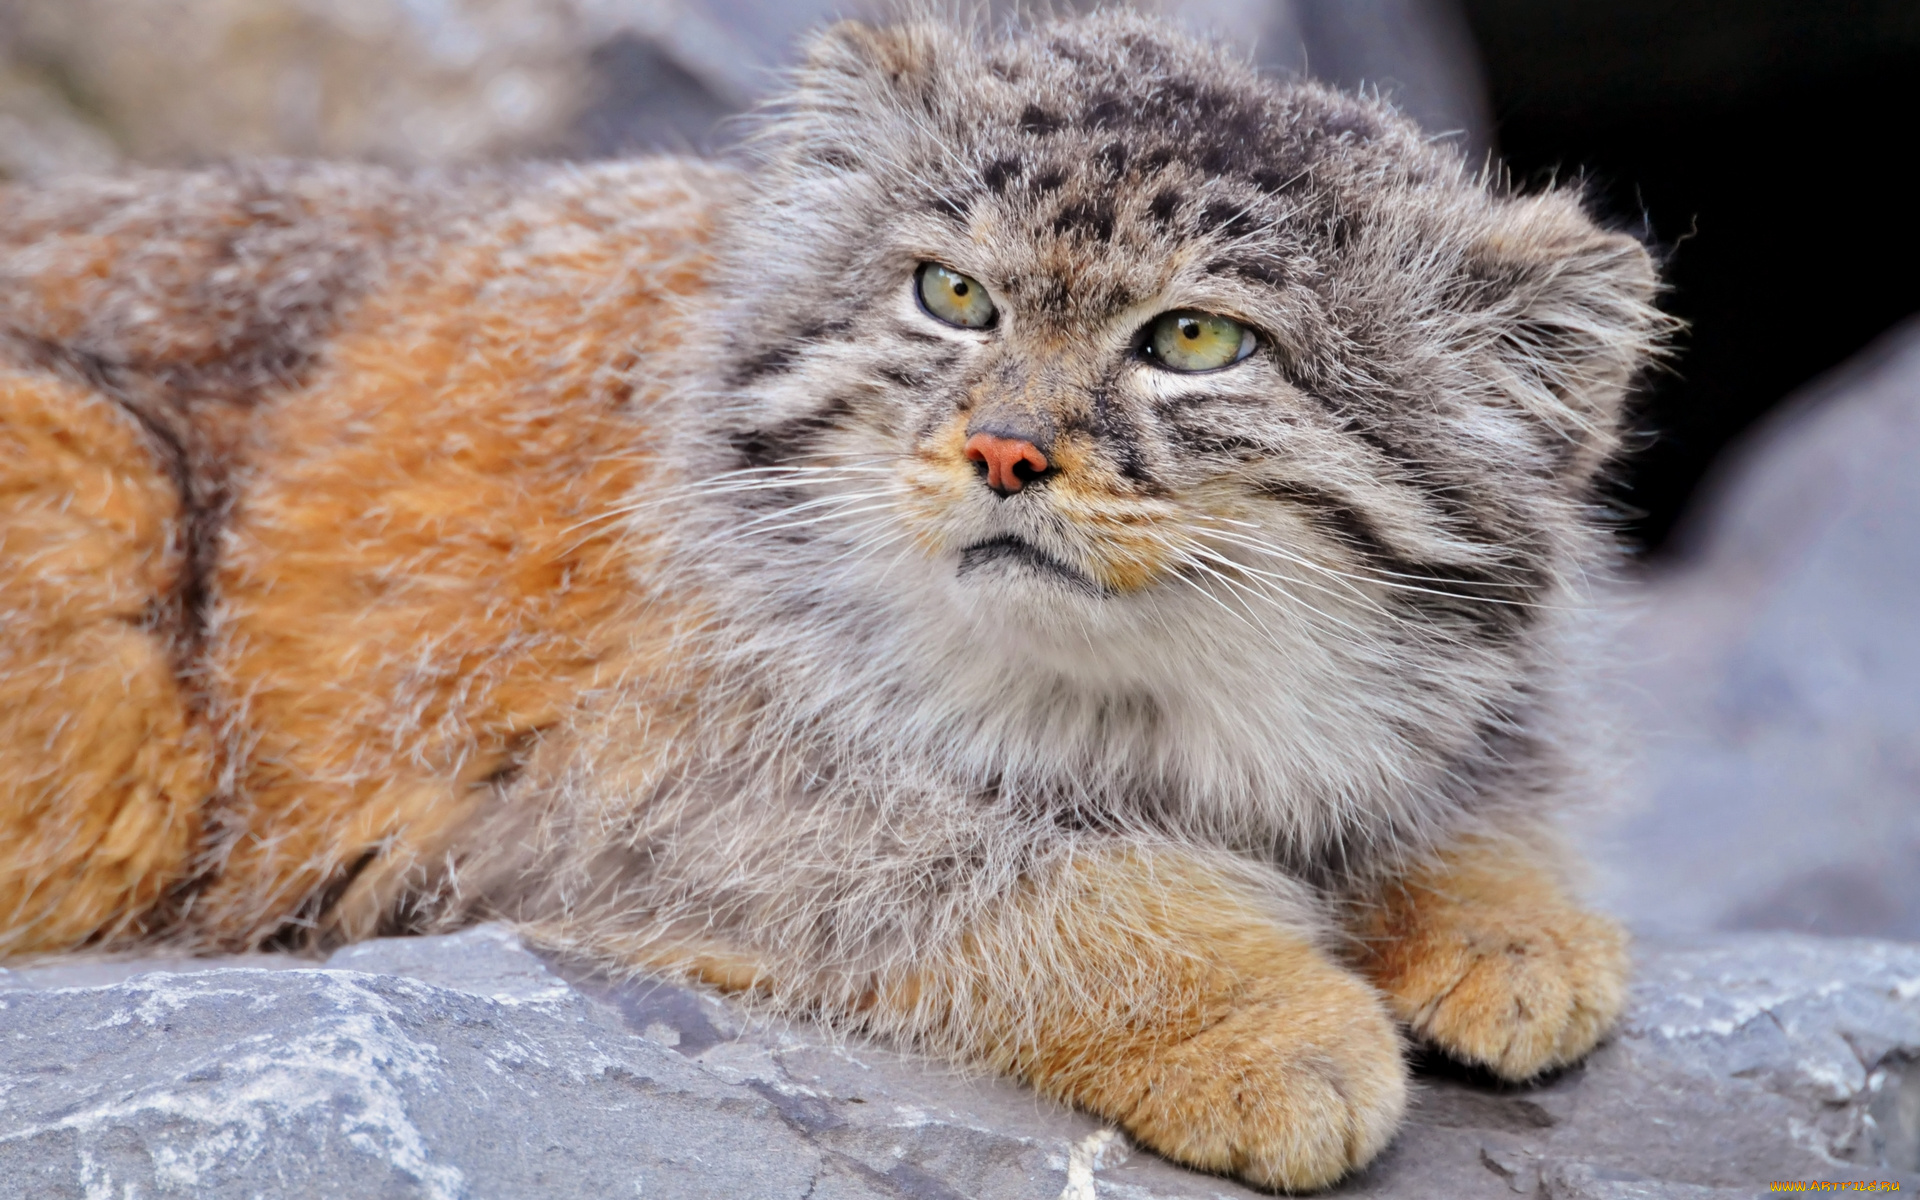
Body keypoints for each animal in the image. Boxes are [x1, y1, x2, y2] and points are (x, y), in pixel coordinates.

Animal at [0, 11, 1666, 1190]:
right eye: (952, 297)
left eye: (1196, 340)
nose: (1005, 449)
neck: (1142, 709)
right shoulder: (617, 819)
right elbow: (1029, 880)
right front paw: (1269, 1022)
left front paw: (1507, 915)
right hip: (99, 521)